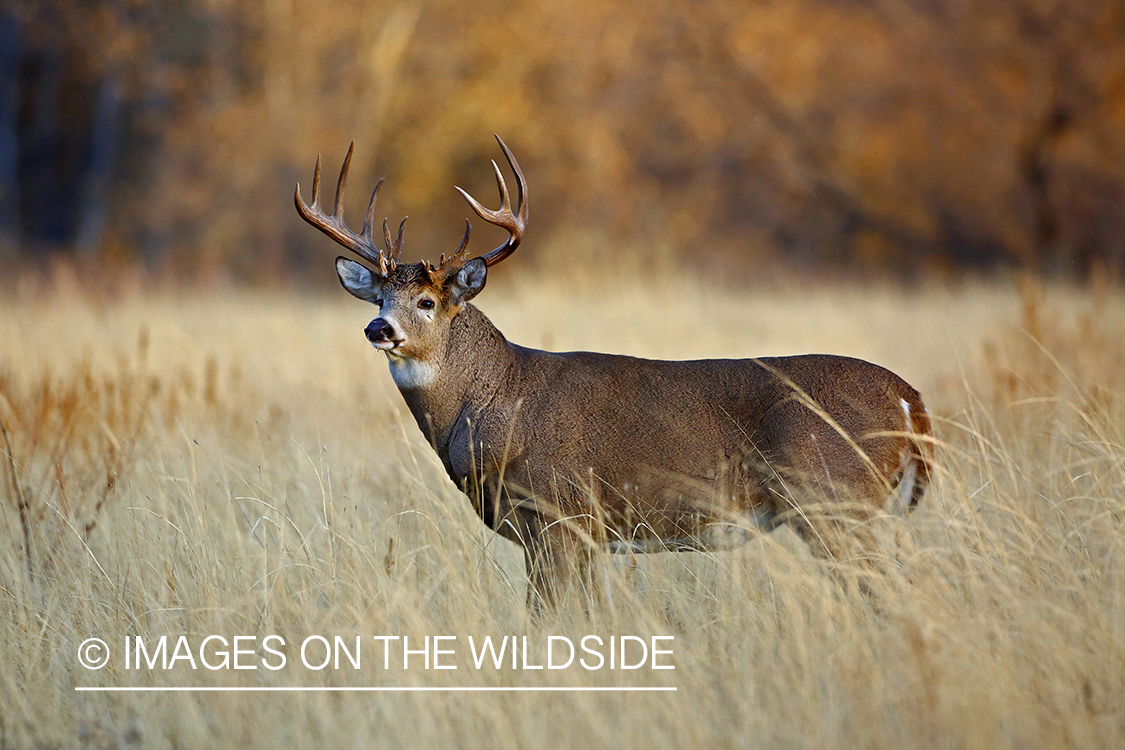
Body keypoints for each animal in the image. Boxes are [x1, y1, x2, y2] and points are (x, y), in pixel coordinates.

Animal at [294, 137, 936, 611]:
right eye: (379, 296)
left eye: (426, 302)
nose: (379, 329)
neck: (497, 401)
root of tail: (910, 399)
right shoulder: (581, 535)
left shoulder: (560, 513)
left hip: (834, 500)